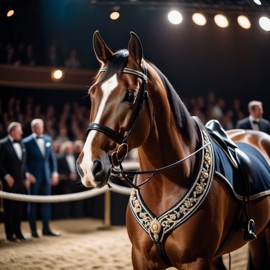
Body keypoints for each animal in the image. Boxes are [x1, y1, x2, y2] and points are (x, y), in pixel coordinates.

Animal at [76, 30, 270, 268]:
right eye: (92, 93)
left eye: (130, 95)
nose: (88, 166)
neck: (168, 181)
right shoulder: (141, 258)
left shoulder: (196, 261)